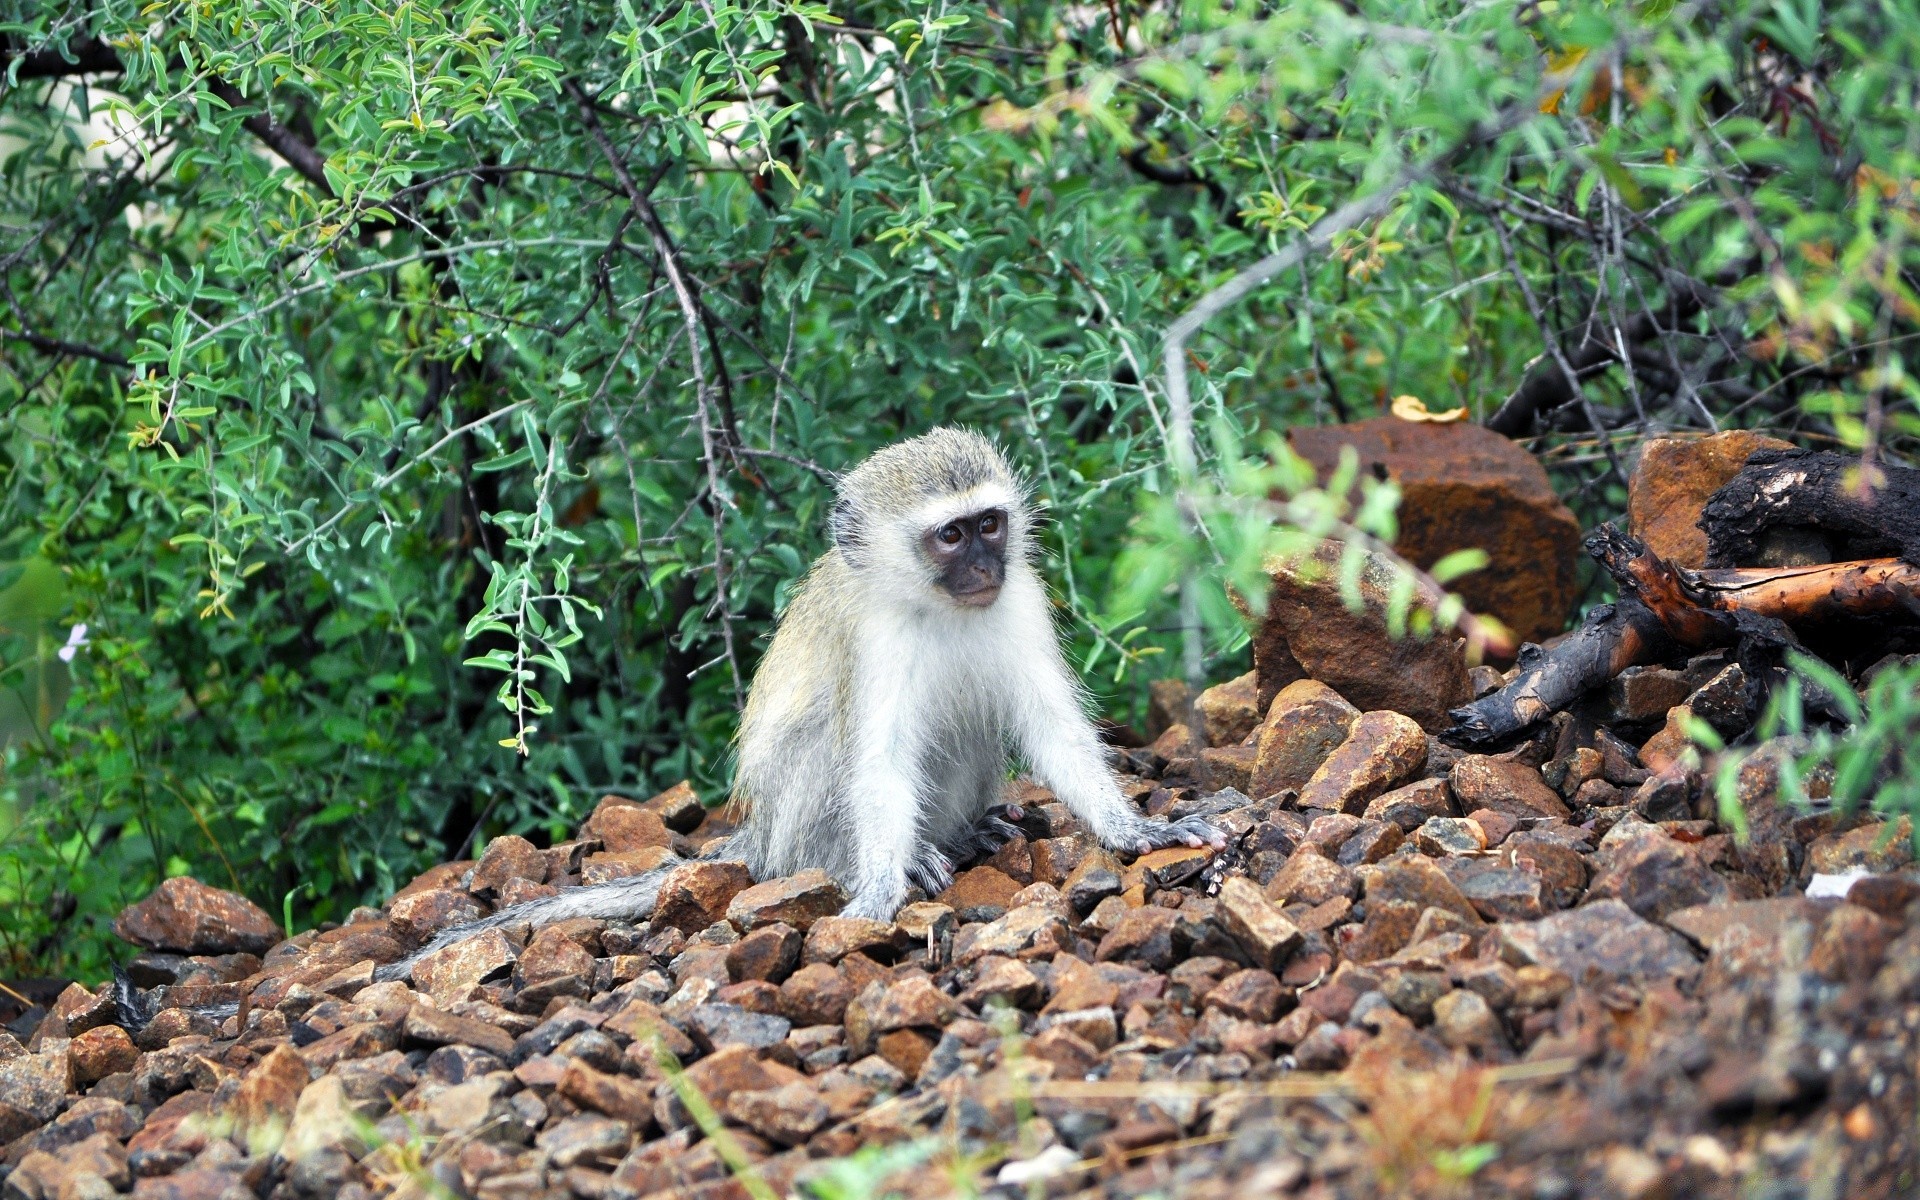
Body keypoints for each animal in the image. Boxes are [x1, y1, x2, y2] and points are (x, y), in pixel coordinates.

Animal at [384, 430, 1221, 975]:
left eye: (991, 525)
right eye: (951, 537)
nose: (986, 566)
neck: (936, 608)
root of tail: (763, 842)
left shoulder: (1020, 600)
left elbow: (1051, 728)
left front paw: (1137, 831)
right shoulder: (873, 639)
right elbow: (877, 761)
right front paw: (880, 888)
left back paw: (966, 832)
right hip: (790, 829)